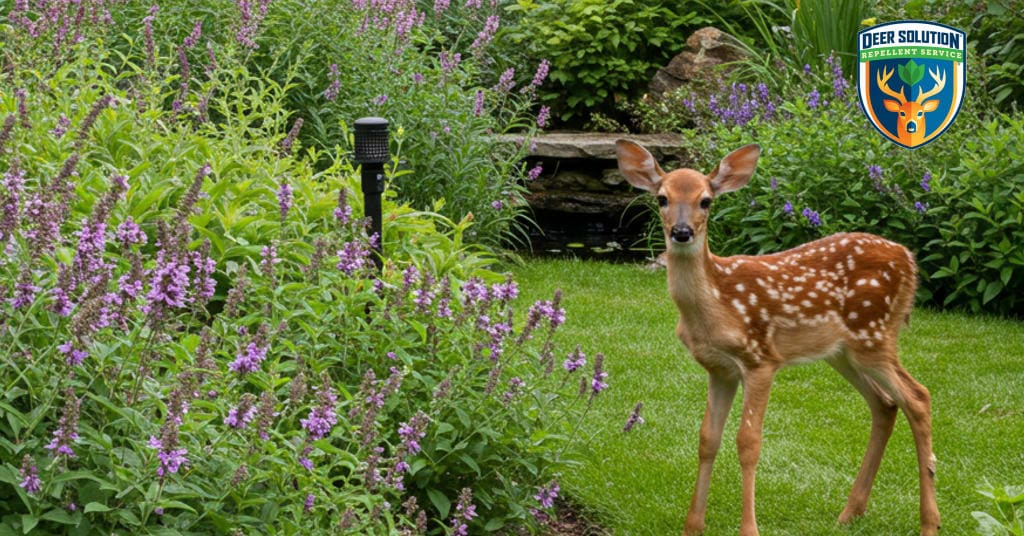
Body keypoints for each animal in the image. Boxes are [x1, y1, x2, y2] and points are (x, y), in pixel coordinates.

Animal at [615, 140, 939, 536]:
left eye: (706, 200)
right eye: (662, 198)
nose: (681, 232)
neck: (717, 302)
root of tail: (910, 259)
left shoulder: (760, 359)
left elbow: (748, 443)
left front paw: (749, 529)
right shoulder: (719, 369)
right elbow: (707, 439)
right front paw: (693, 526)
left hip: (874, 334)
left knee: (917, 397)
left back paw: (929, 523)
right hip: (843, 352)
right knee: (886, 403)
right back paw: (850, 512)